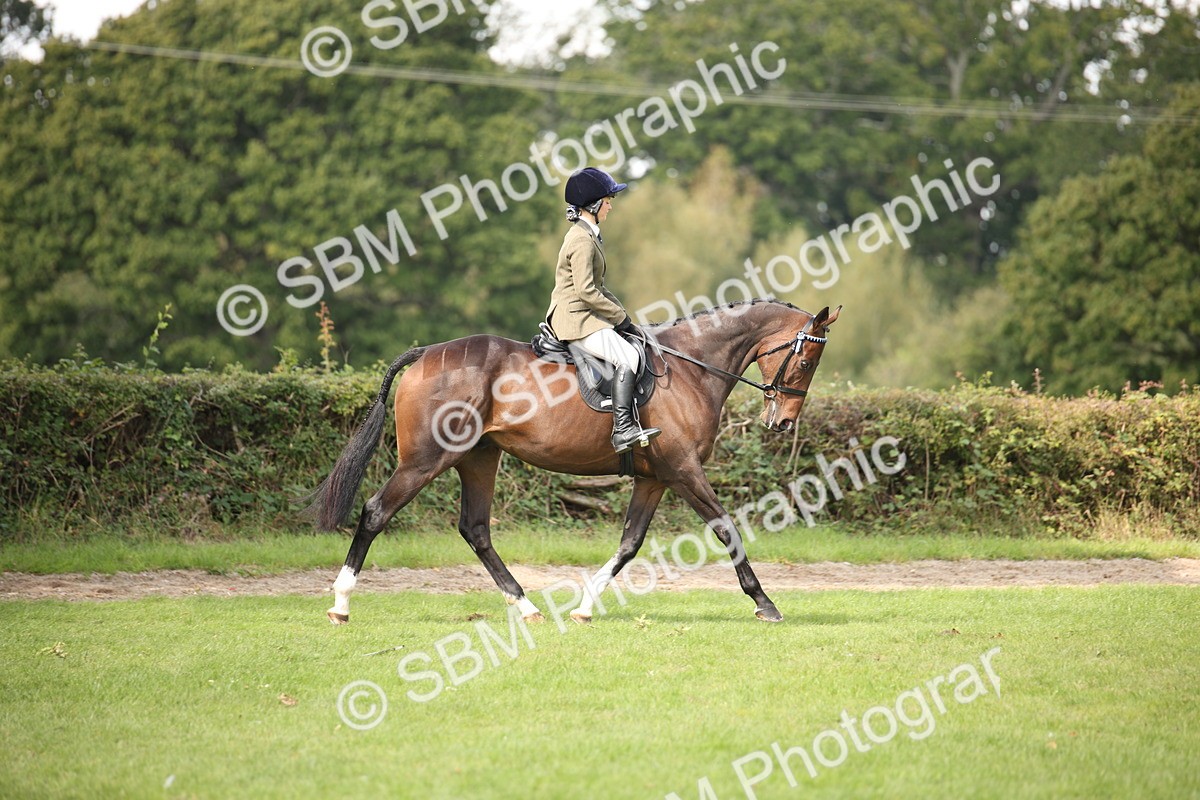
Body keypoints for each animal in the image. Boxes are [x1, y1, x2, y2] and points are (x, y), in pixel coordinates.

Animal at [307, 299, 840, 625]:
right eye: (807, 362)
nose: (783, 422)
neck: (692, 367)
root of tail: (424, 354)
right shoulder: (684, 471)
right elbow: (727, 528)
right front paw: (765, 603)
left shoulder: (656, 478)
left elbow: (629, 544)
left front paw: (584, 607)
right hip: (426, 459)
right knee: (376, 512)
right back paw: (341, 603)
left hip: (479, 458)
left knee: (476, 529)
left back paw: (526, 607)